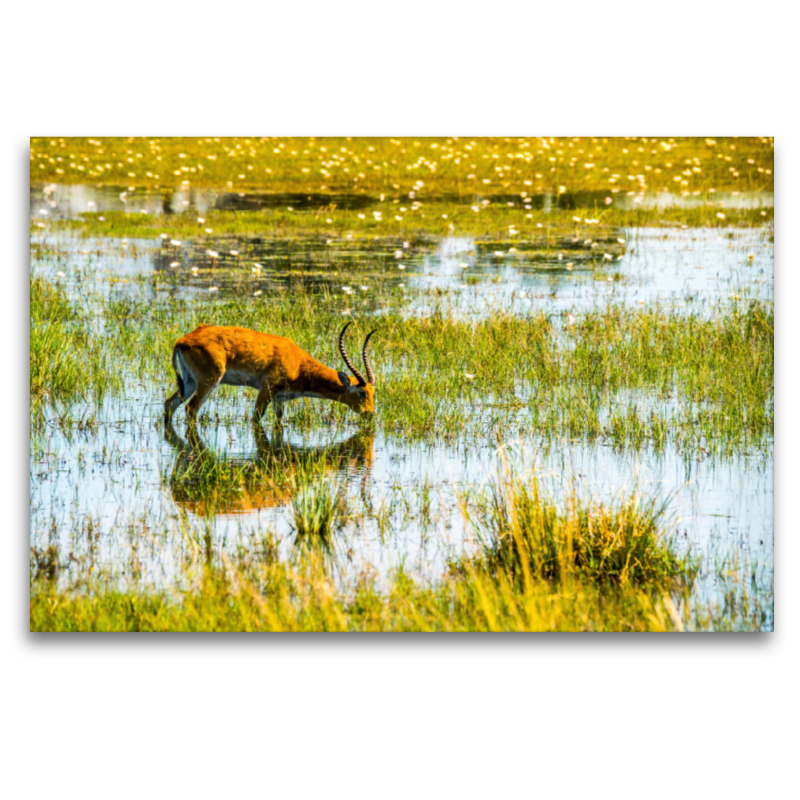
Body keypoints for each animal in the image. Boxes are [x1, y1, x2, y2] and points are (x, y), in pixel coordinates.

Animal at [163, 322, 378, 424]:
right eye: (362, 392)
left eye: (373, 392)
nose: (371, 414)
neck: (297, 363)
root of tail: (183, 341)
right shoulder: (266, 390)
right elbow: (256, 418)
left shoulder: (280, 399)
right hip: (209, 382)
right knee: (191, 409)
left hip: (190, 383)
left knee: (169, 403)